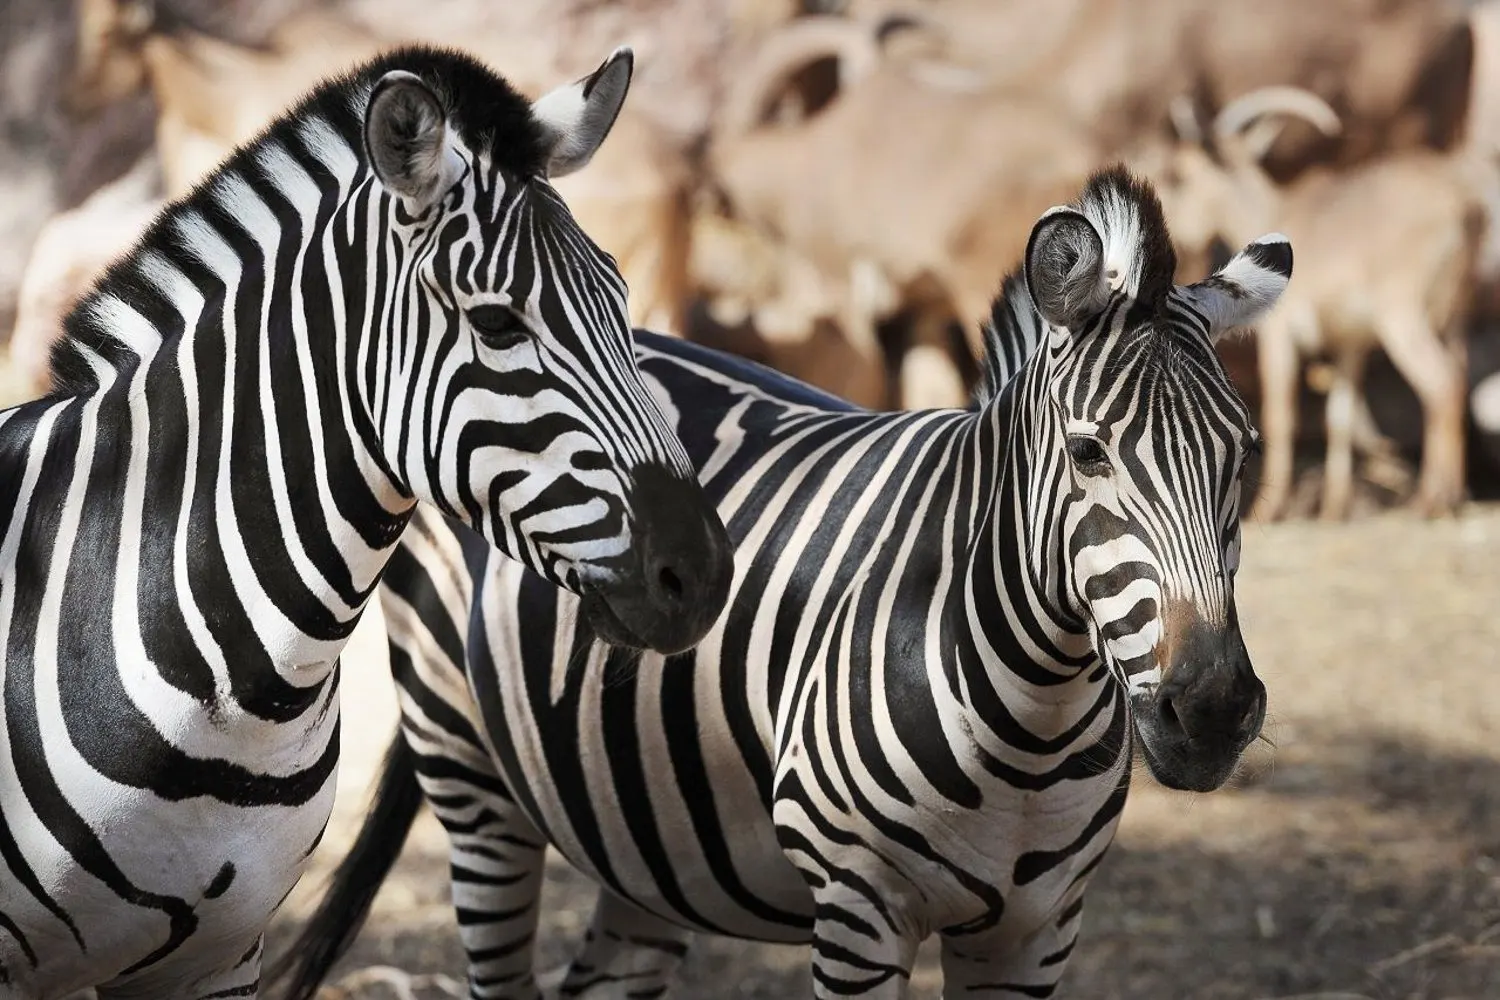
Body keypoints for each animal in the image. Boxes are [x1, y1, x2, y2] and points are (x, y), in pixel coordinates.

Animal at [272, 166, 1293, 999]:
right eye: (1088, 453)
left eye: (1242, 456)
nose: (1211, 711)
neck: (1033, 724)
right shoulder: (859, 909)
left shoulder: (1036, 931)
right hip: (468, 773)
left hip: (647, 832)